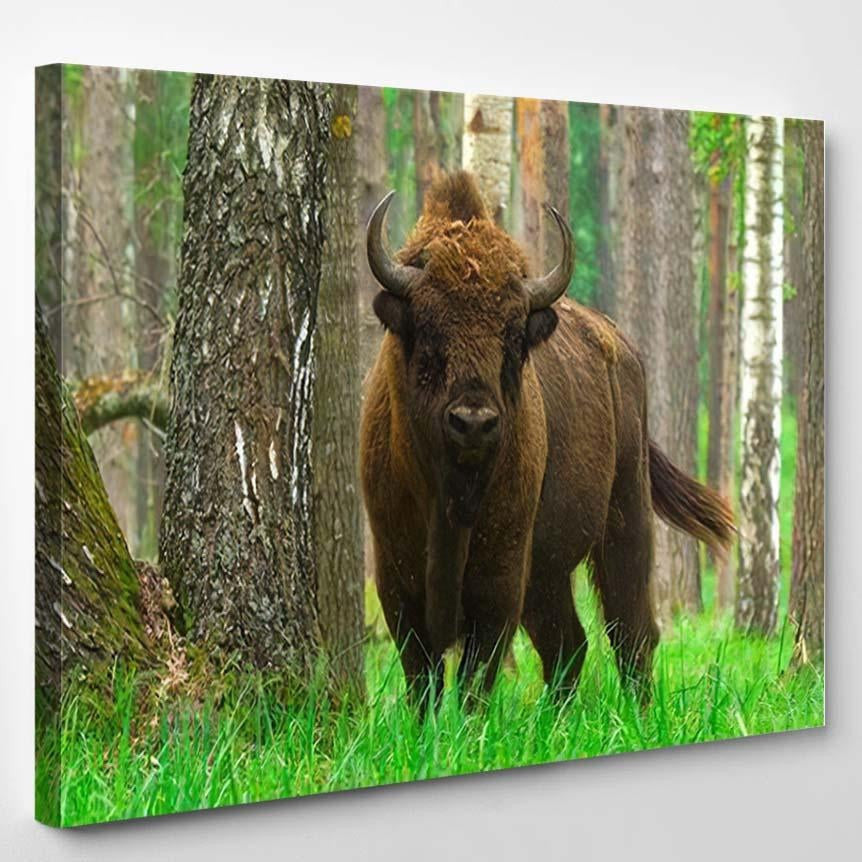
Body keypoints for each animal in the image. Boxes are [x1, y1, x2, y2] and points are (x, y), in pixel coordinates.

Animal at [360, 171, 733, 712]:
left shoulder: (500, 571)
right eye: (427, 328)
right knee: (567, 643)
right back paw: (556, 716)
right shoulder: (397, 569)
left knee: (631, 630)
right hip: (549, 571)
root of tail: (623, 348)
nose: (474, 422)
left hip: (625, 517)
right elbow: (421, 668)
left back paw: (639, 714)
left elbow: (478, 665)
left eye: (513, 337)